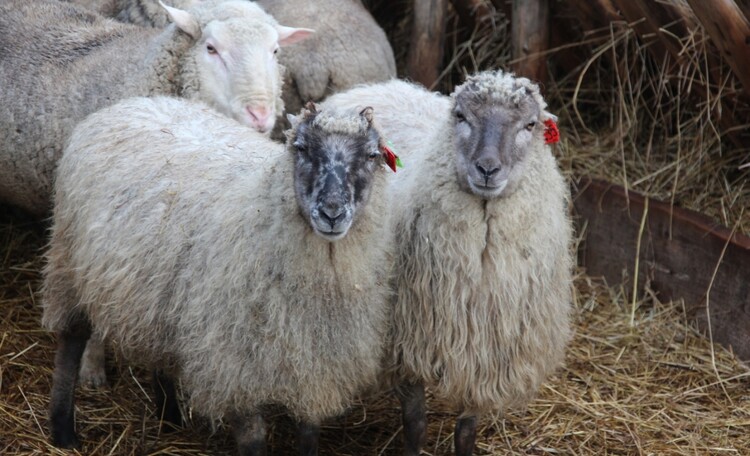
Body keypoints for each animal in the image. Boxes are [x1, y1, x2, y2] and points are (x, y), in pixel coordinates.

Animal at [41, 94, 396, 454]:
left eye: (371, 155)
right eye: (301, 148)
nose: (332, 212)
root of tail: (134, 101)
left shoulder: (317, 364)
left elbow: (309, 435)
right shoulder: (233, 362)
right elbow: (253, 440)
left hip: (158, 291)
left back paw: (169, 415)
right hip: (68, 263)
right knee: (70, 342)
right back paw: (63, 432)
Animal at [324, 72, 576, 456]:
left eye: (530, 125)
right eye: (461, 117)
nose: (487, 169)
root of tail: (376, 86)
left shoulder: (484, 353)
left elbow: (466, 430)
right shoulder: (407, 342)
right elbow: (415, 423)